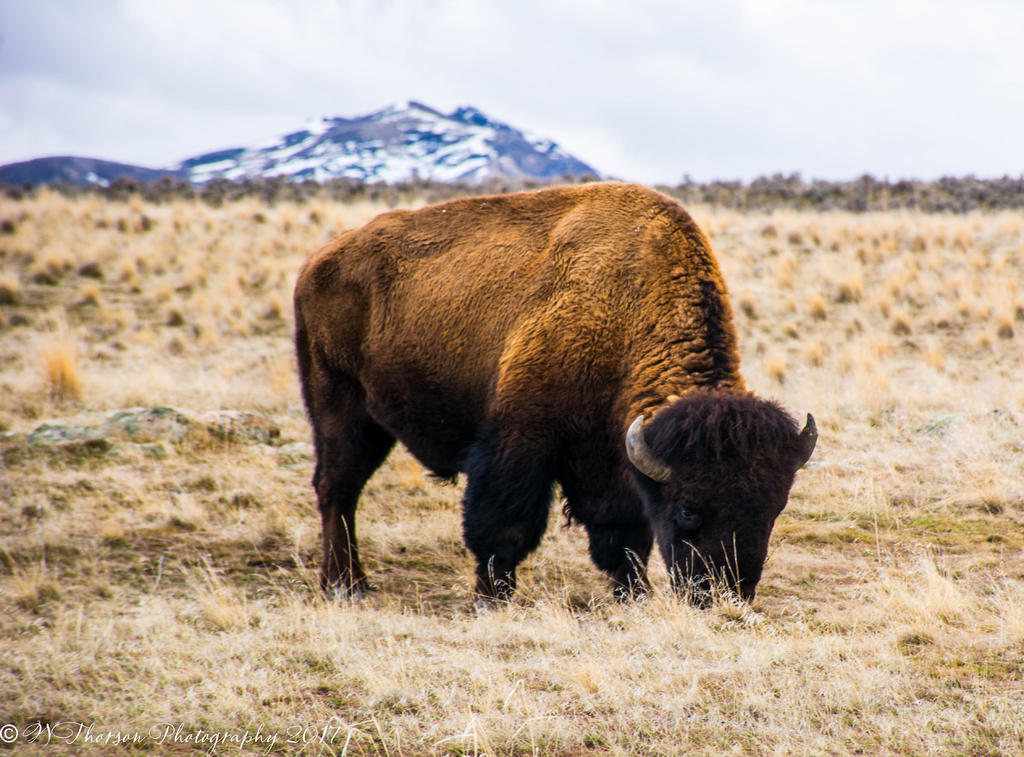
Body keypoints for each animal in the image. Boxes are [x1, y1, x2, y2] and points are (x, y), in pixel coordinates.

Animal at [294, 182, 815, 602]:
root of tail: (316, 263)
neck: (625, 306)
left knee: (345, 488)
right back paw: (344, 585)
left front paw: (634, 595)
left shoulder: (616, 459)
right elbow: (505, 526)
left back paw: (354, 582)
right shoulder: (520, 439)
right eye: (688, 509)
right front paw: (492, 597)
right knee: (337, 488)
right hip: (338, 406)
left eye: (775, 508)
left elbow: (624, 535)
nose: (725, 594)